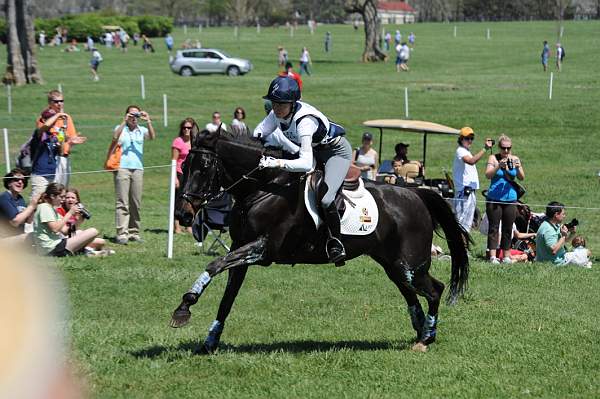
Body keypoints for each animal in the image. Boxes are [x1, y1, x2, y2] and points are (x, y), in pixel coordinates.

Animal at [171, 130, 472, 354]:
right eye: (184, 165)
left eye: (204, 167)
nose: (183, 215)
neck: (262, 188)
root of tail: (418, 194)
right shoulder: (240, 250)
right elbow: (227, 296)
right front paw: (209, 341)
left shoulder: (262, 249)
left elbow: (213, 264)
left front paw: (184, 307)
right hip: (393, 264)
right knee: (411, 294)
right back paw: (421, 332)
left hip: (410, 264)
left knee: (434, 289)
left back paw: (426, 338)